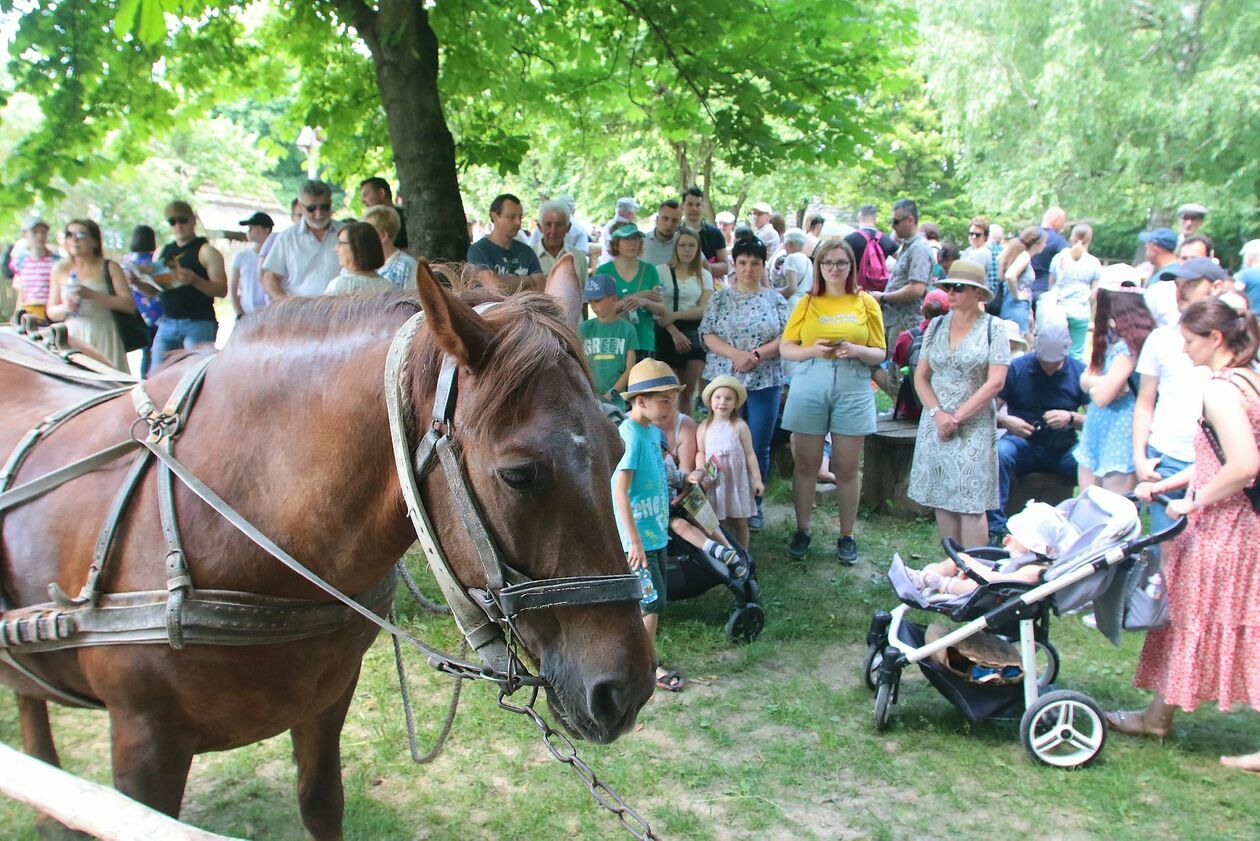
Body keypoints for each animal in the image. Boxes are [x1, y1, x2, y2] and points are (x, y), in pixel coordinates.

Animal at [0, 266, 650, 837]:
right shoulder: (142, 748)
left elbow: (320, 805)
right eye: (518, 475)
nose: (626, 690)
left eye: (618, 447)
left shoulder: (325, 705)